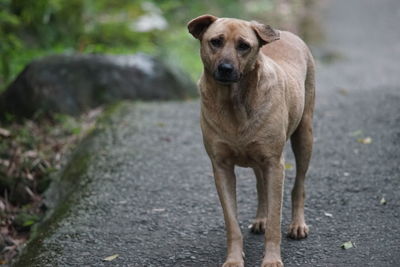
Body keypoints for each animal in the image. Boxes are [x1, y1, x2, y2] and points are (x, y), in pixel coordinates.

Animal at [188, 15, 316, 267]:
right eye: (215, 41)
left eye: (244, 46)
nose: (225, 68)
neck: (233, 103)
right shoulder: (221, 167)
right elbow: (232, 223)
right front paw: (234, 259)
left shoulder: (274, 163)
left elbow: (275, 222)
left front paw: (272, 260)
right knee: (261, 185)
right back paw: (260, 218)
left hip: (304, 136)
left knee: (299, 185)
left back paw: (297, 225)